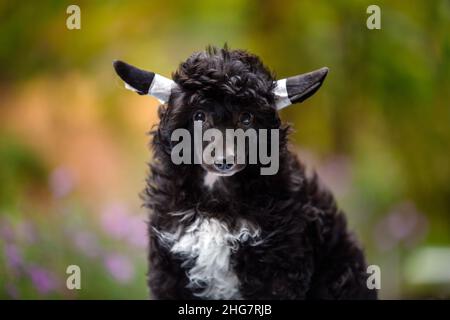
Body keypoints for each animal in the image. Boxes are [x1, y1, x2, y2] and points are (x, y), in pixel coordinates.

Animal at [112, 45, 376, 300]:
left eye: (246, 118)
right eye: (199, 116)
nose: (224, 161)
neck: (214, 199)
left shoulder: (280, 266)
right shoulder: (169, 264)